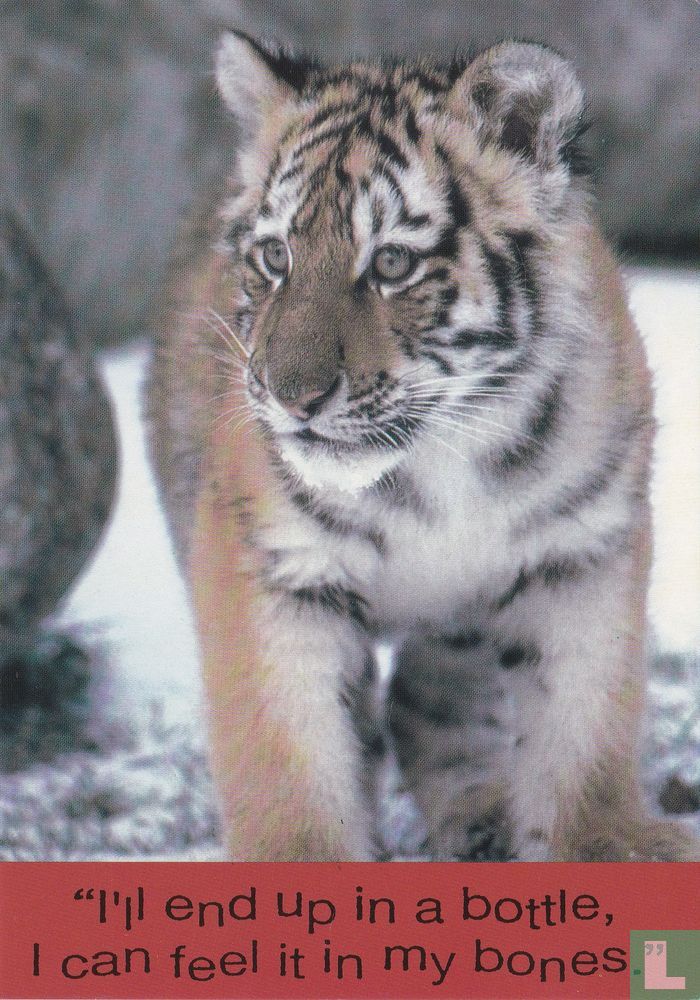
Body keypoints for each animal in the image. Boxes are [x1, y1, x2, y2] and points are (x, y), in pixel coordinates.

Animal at [147, 31, 700, 861]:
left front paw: (604, 844)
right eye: (276, 258)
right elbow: (283, 743)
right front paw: (300, 861)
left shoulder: (580, 552)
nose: (289, 395)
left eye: (392, 263)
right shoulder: (274, 567)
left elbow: (584, 719)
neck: (439, 460)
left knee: (432, 697)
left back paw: (481, 816)